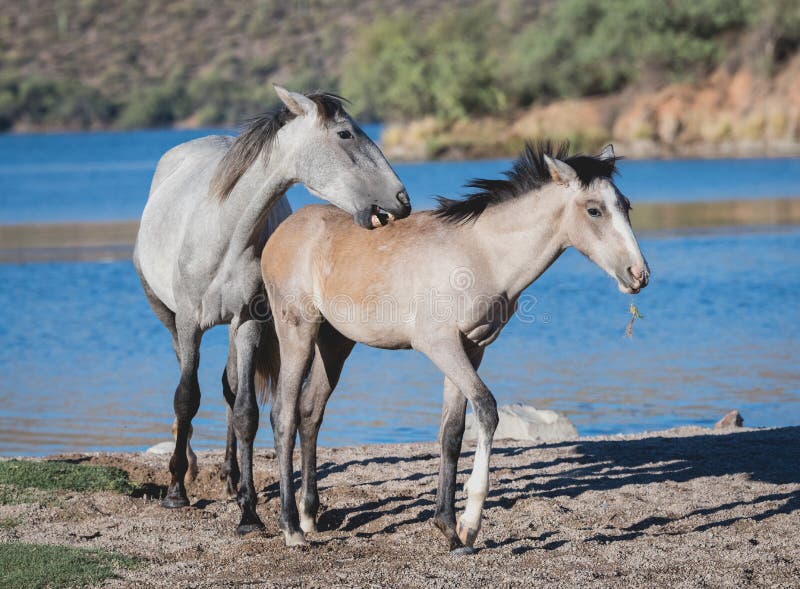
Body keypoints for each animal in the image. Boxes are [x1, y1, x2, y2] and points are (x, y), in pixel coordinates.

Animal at [134, 86, 410, 532]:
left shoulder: (247, 321)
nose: (401, 200)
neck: (225, 232)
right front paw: (176, 492)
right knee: (187, 387)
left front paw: (248, 512)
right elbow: (186, 398)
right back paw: (185, 470)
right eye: (345, 134)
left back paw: (232, 480)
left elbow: (246, 411)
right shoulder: (190, 323)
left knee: (230, 390)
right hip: (167, 317)